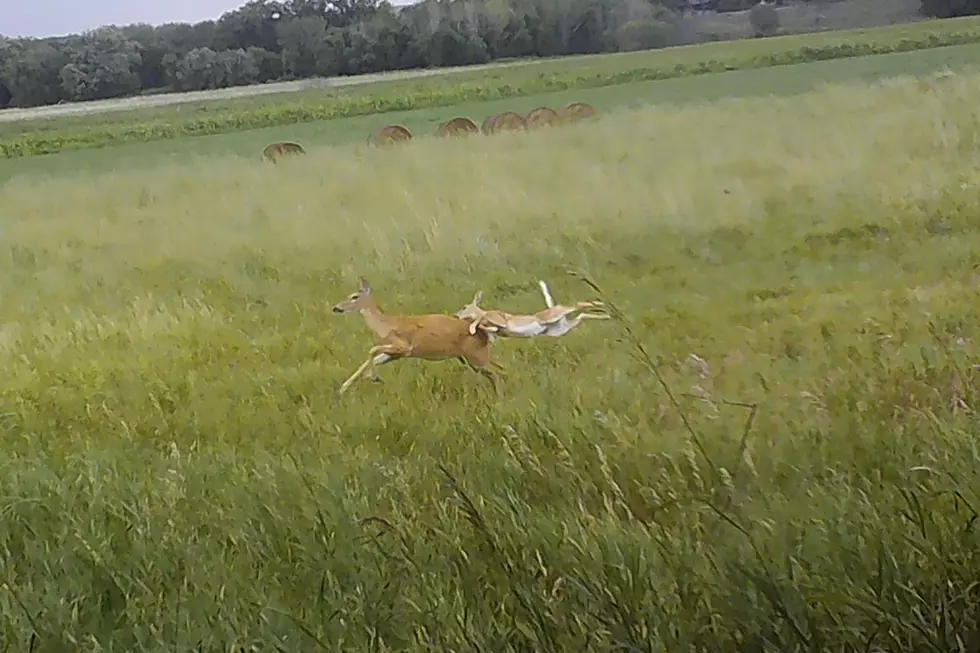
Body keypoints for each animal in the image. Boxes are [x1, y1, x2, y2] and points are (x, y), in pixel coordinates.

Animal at [330, 278, 506, 394]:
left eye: (354, 296)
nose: (336, 307)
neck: (385, 325)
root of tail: (484, 333)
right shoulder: (393, 353)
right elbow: (368, 361)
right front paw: (343, 388)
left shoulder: (404, 347)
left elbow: (372, 350)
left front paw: (374, 378)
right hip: (472, 360)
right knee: (496, 372)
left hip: (477, 356)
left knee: (499, 371)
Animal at [454, 280, 608, 342]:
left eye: (464, 307)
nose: (456, 315)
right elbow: (487, 328)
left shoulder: (499, 320)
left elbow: (479, 321)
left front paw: (472, 328)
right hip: (561, 328)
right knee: (582, 314)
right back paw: (606, 315)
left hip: (554, 316)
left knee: (576, 305)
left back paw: (601, 304)